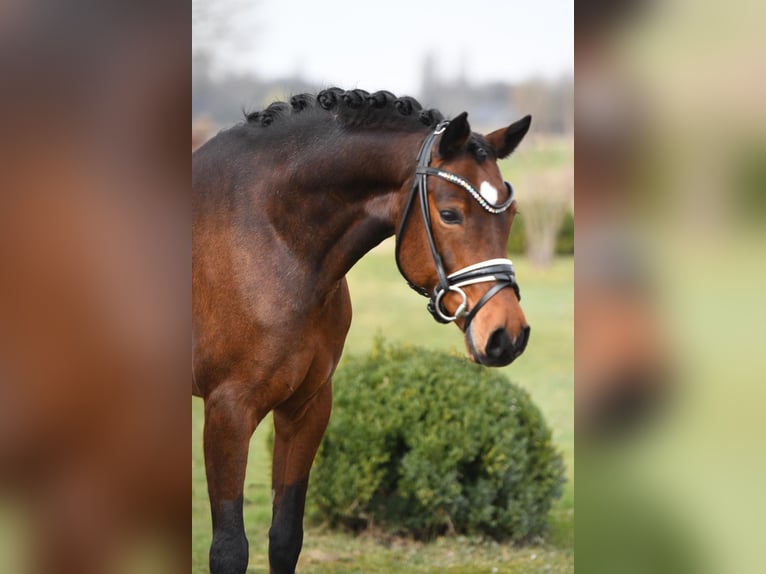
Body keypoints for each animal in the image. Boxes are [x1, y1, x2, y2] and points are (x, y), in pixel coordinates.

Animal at [192, 88, 536, 572]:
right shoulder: (228, 411)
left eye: (511, 215)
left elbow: (285, 536)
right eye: (450, 214)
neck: (275, 239)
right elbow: (228, 549)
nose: (507, 334)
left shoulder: (307, 406)